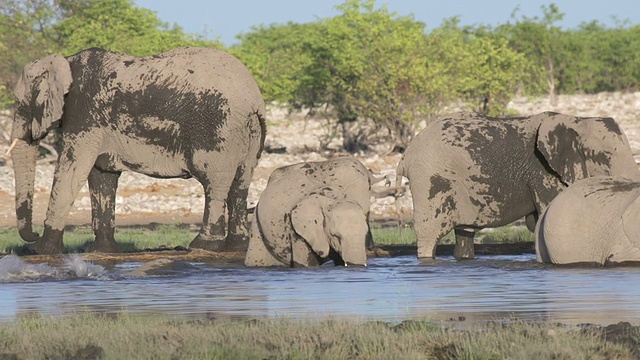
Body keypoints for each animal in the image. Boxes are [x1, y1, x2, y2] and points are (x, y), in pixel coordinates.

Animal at [10, 47, 264, 255]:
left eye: (20, 104)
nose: (32, 236)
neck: (66, 62)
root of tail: (254, 98)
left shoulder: (84, 115)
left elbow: (73, 168)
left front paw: (42, 251)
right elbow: (101, 176)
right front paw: (104, 251)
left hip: (219, 129)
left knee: (215, 182)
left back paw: (202, 246)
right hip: (247, 131)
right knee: (240, 184)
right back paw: (237, 246)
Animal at [396, 111, 640, 260]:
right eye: (605, 156)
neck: (578, 120)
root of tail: (406, 153)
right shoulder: (543, 171)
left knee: (464, 234)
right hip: (428, 180)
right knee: (429, 234)